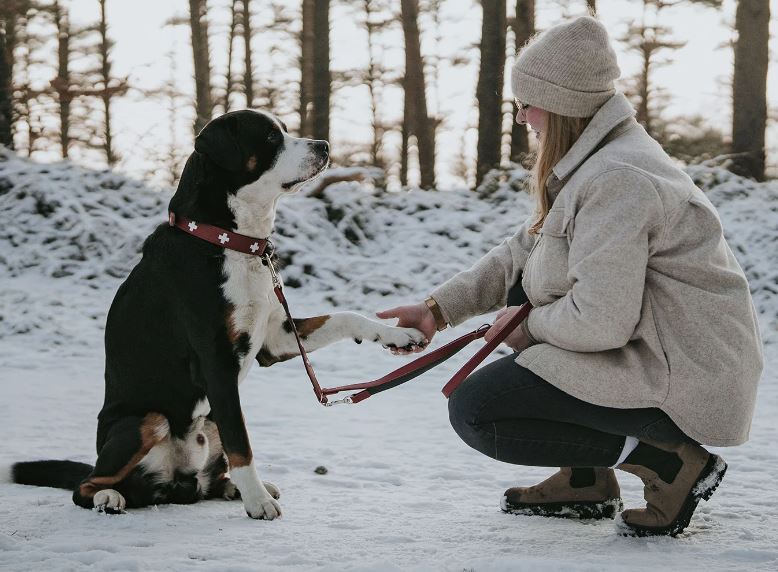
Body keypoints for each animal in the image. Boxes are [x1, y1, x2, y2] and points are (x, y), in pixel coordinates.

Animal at [10, 109, 424, 520]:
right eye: (271, 137)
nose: (323, 145)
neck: (231, 242)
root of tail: (172, 483)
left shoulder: (275, 339)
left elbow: (346, 317)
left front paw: (399, 335)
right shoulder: (216, 363)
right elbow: (242, 444)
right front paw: (258, 502)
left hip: (207, 421)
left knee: (204, 480)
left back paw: (227, 488)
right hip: (145, 420)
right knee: (87, 484)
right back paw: (110, 498)